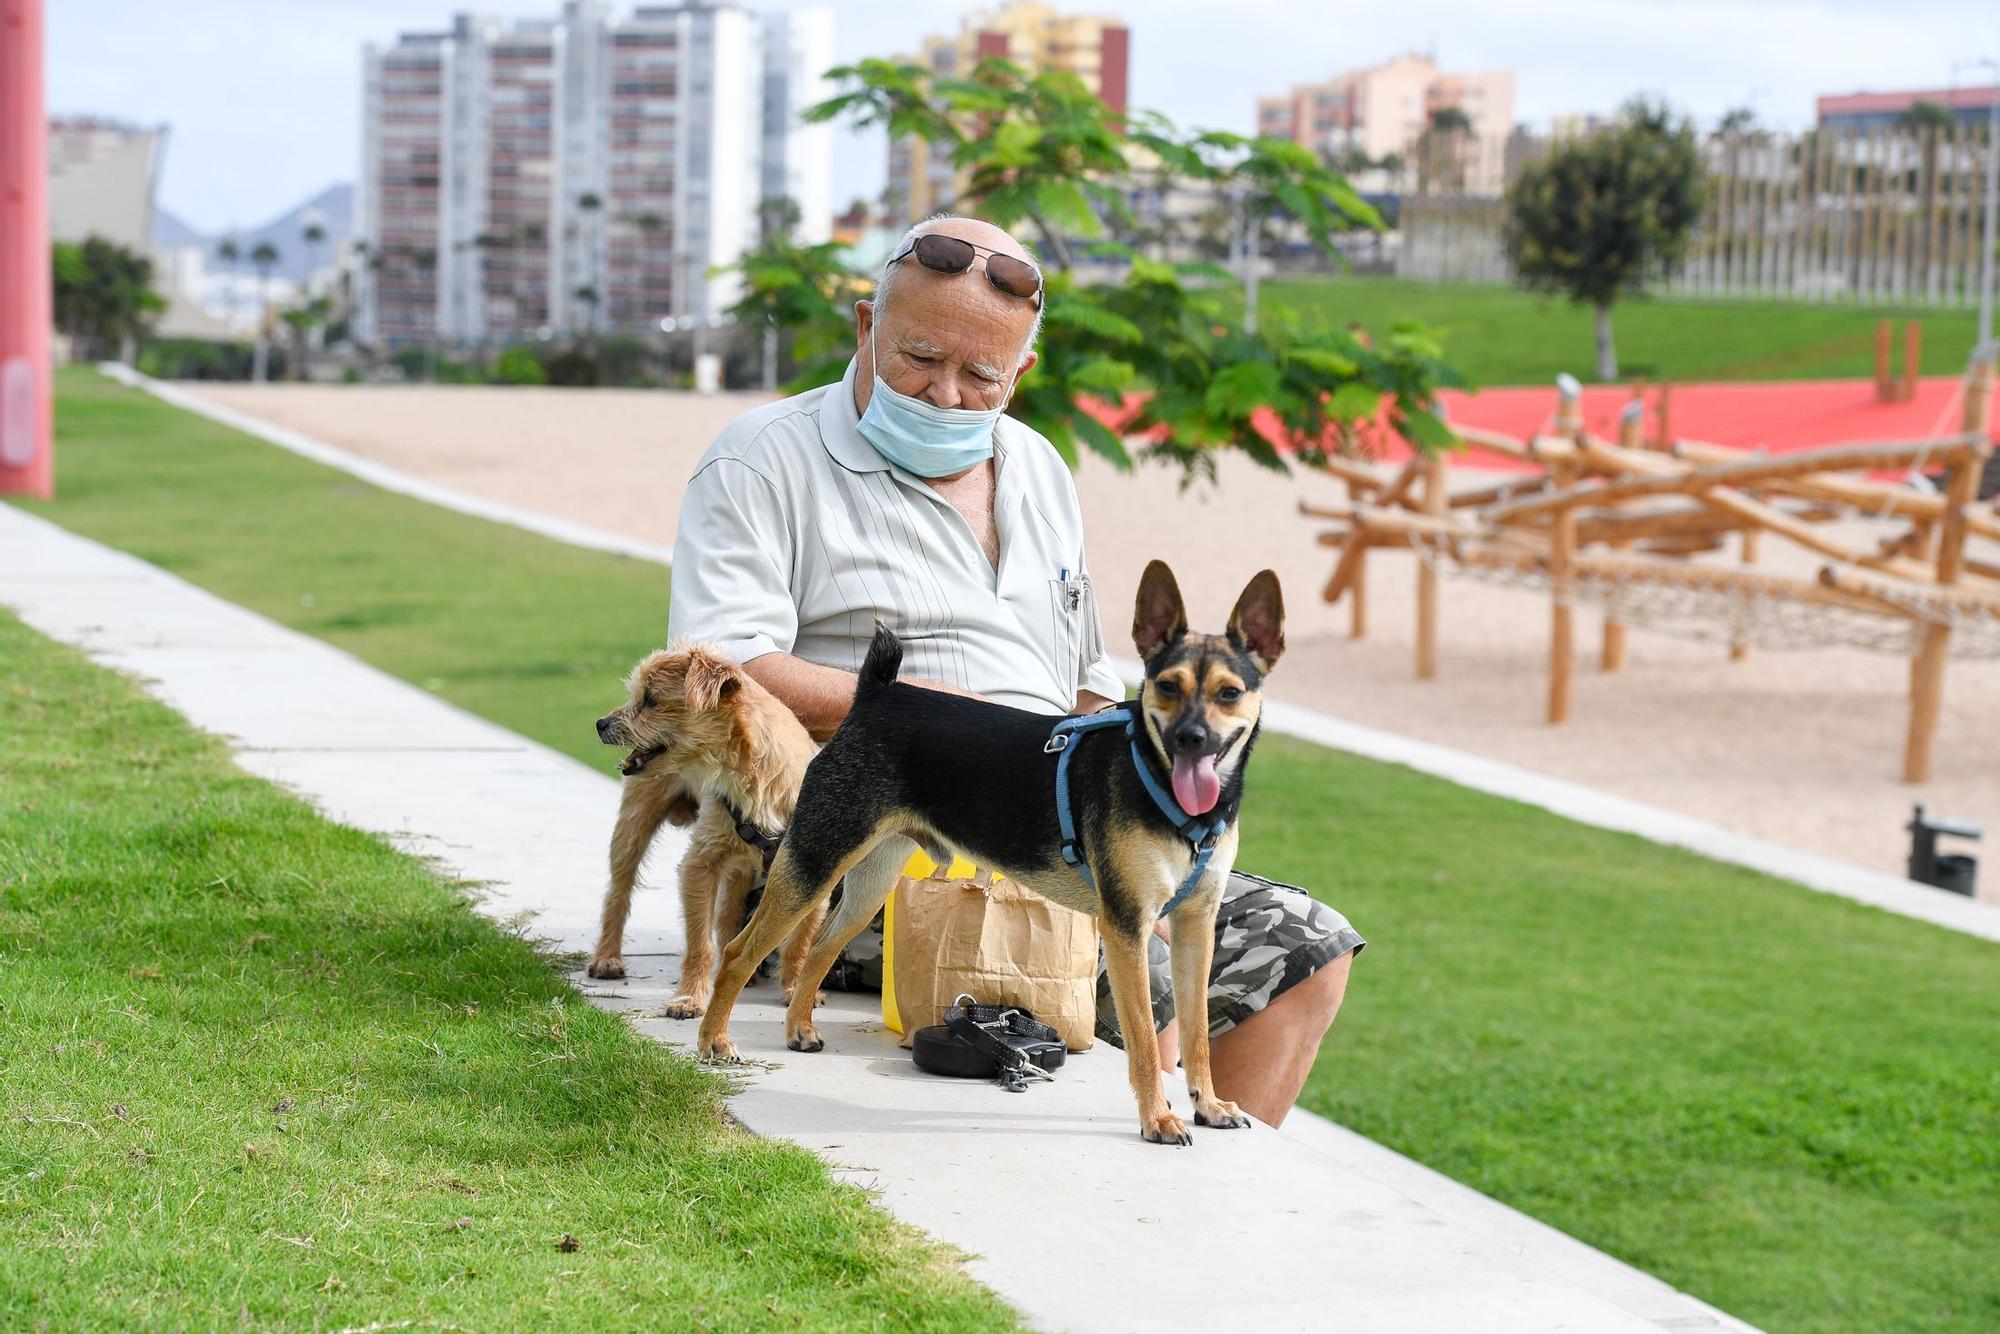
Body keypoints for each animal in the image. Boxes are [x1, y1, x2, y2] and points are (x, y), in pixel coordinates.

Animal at [584, 640, 820, 1016]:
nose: (600, 723)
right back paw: (607, 958)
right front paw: (690, 997)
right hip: (633, 826)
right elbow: (698, 943)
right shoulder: (699, 867)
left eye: (650, 700)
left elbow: (801, 942)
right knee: (618, 892)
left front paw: (796, 990)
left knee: (729, 912)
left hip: (740, 865)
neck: (753, 778)